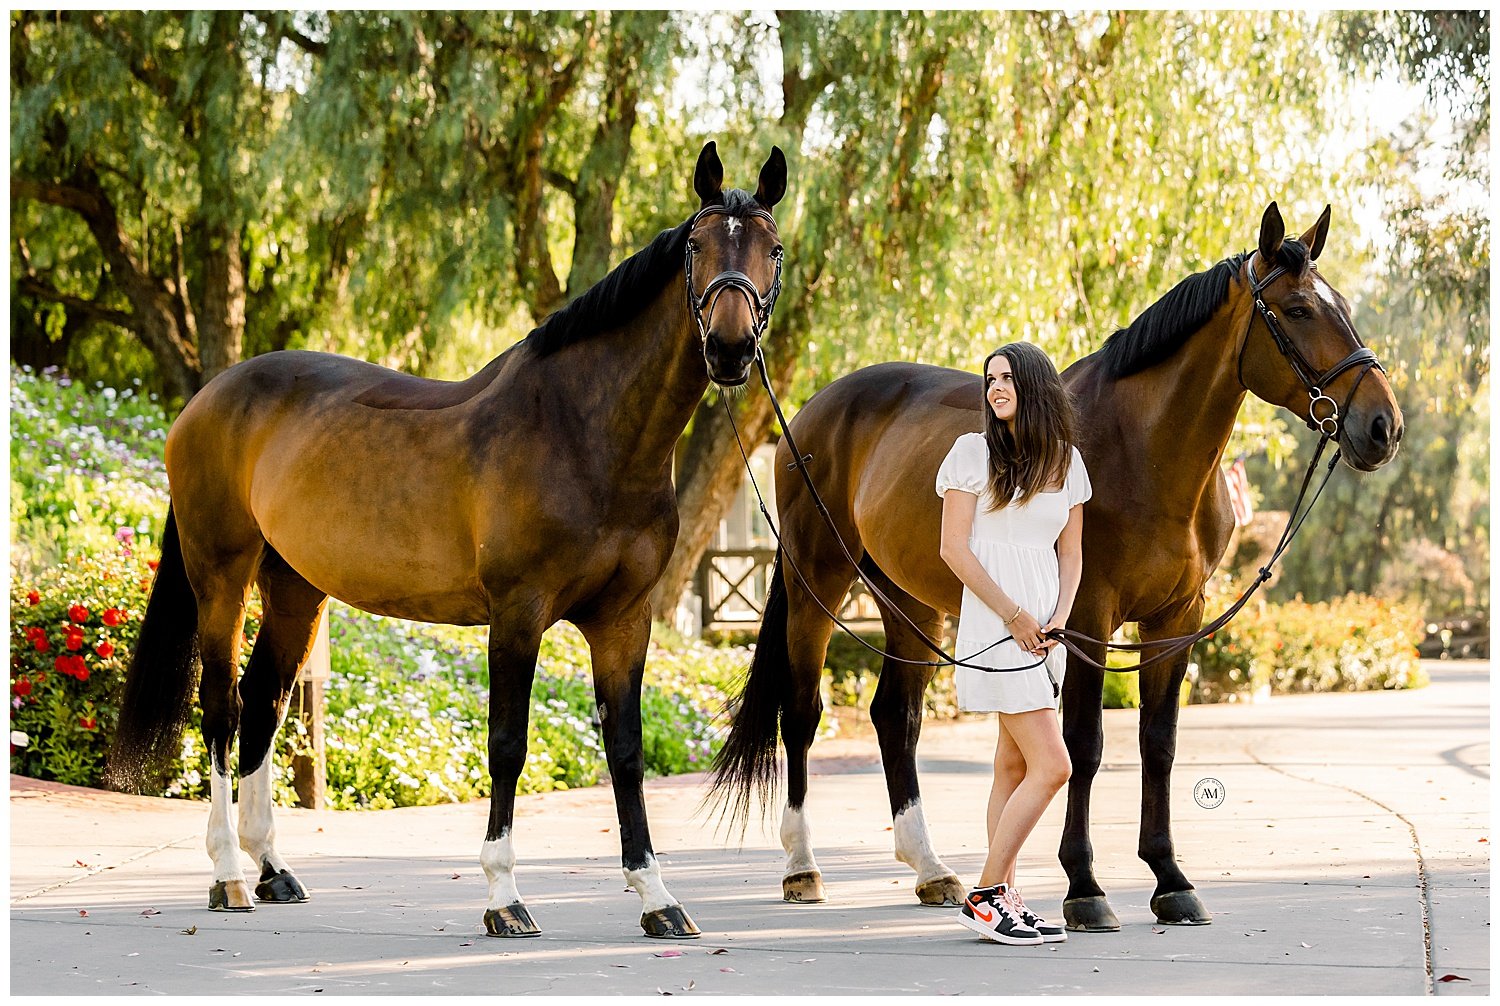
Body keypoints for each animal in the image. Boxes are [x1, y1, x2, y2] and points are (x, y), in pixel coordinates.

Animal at [109, 141, 792, 947]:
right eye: (696, 246)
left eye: (772, 250)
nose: (730, 348)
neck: (582, 432)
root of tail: (205, 399)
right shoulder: (518, 613)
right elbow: (508, 744)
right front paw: (504, 897)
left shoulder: (626, 618)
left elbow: (624, 751)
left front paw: (657, 896)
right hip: (220, 576)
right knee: (218, 708)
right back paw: (227, 876)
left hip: (295, 589)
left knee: (262, 702)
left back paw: (273, 869)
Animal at [708, 202, 1398, 929]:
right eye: (1297, 309)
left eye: (1343, 304)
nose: (1383, 426)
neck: (1139, 447)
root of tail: (812, 413)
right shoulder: (1087, 617)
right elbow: (1086, 745)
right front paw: (1085, 887)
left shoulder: (1177, 621)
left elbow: (1158, 742)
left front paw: (1170, 879)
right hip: (818, 580)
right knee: (801, 711)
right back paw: (802, 867)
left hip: (907, 599)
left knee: (896, 718)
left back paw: (932, 871)